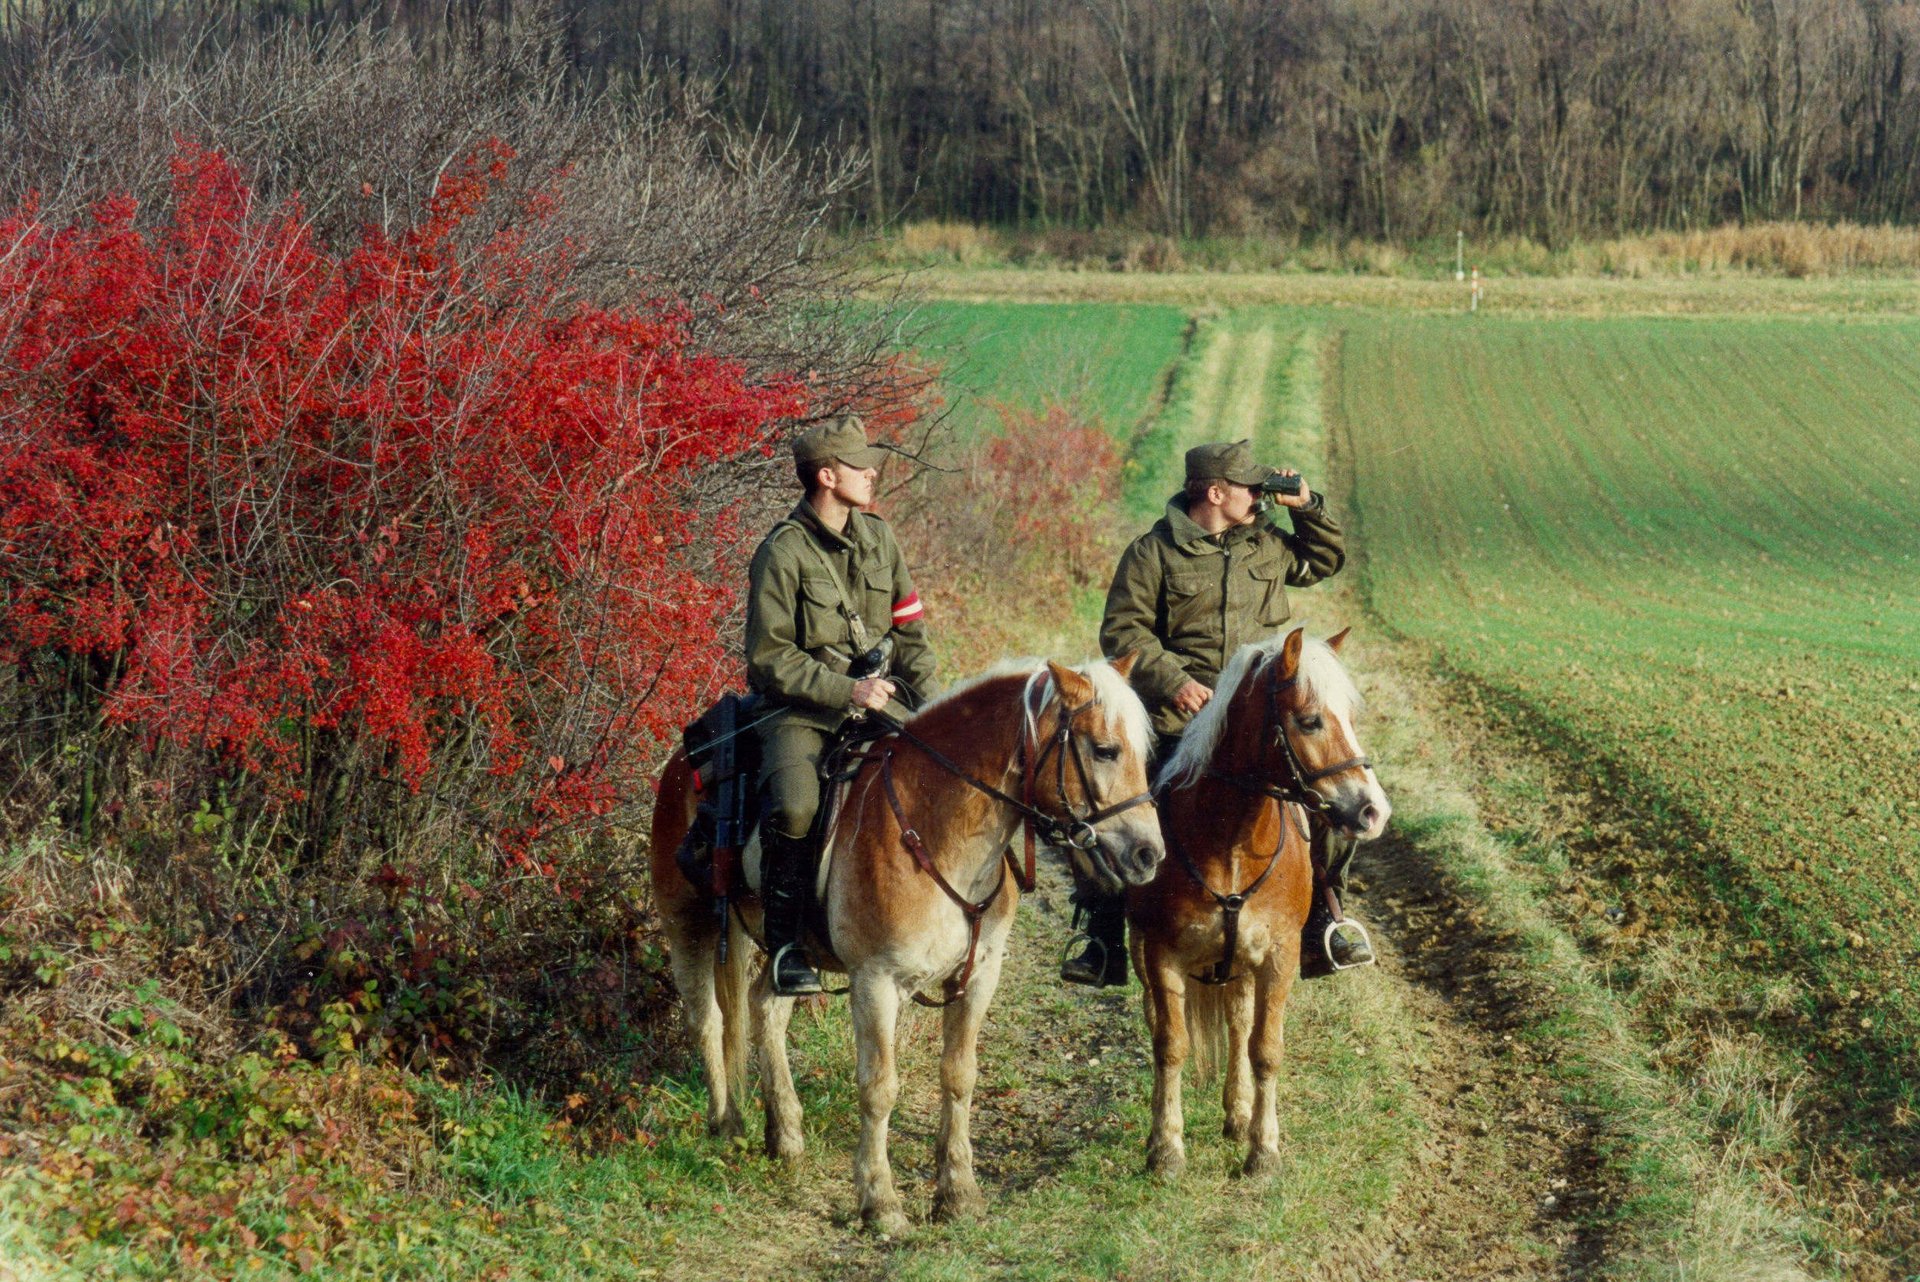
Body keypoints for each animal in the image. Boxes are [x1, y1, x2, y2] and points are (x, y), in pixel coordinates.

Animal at [645, 660, 1159, 1228]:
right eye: (1105, 750)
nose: (1148, 854)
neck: (936, 826)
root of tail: (681, 763)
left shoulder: (979, 977)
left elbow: (959, 1076)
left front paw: (958, 1190)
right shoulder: (877, 982)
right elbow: (878, 1087)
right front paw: (880, 1201)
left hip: (791, 955)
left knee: (764, 1007)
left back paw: (786, 1136)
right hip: (688, 924)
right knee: (709, 1021)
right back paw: (727, 1124)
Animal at [1121, 625, 1382, 1174]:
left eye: (1350, 717)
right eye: (1310, 720)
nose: (1374, 811)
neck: (1231, 842)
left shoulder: (1278, 957)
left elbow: (1265, 1048)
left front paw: (1263, 1151)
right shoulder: (1161, 954)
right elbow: (1170, 1045)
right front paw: (1166, 1148)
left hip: (1241, 961)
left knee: (1239, 1023)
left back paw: (1238, 1114)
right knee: (1160, 1021)